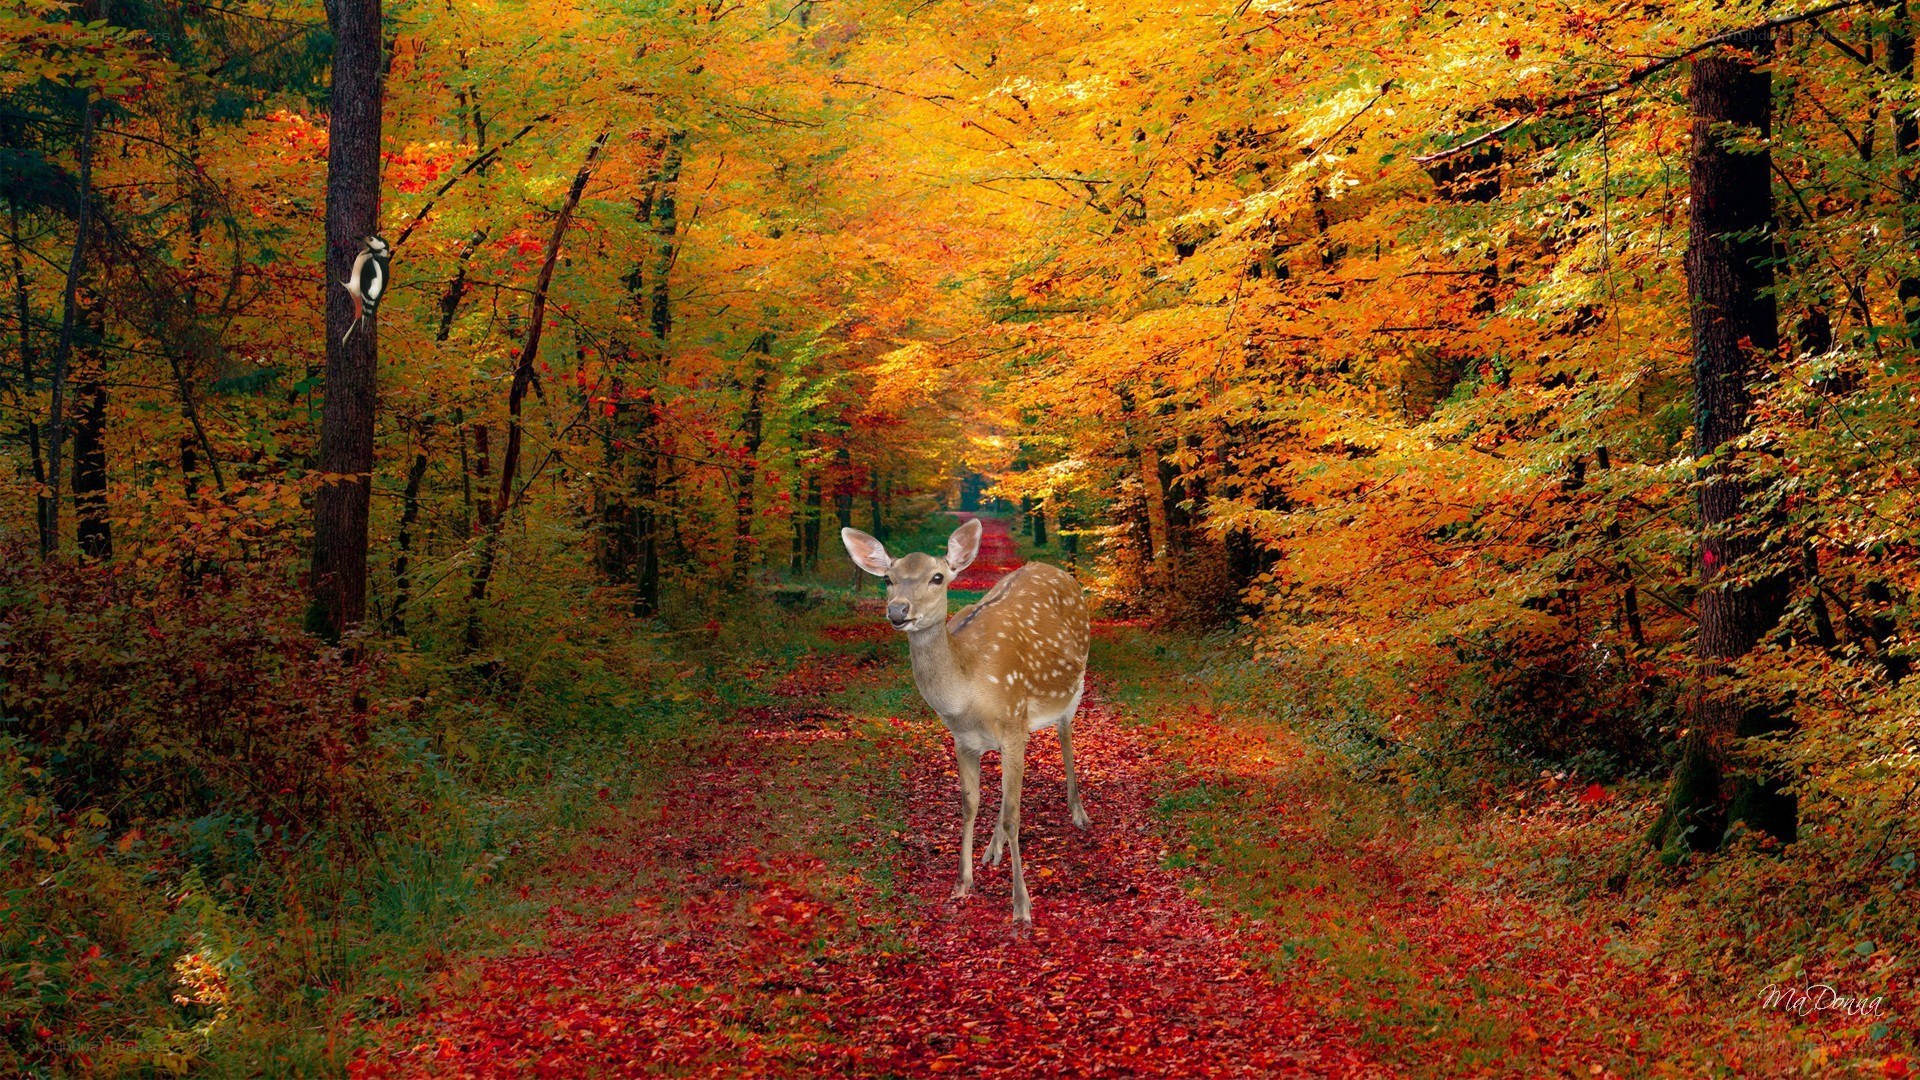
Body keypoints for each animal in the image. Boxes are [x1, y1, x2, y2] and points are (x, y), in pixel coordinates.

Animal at [839, 517, 1091, 924]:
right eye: (888, 578)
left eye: (938, 577)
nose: (898, 610)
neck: (968, 692)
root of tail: (1057, 570)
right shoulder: (964, 739)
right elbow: (971, 803)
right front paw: (963, 881)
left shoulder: (1012, 724)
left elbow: (1014, 814)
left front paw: (1021, 905)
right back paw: (992, 850)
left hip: (1074, 684)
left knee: (1066, 734)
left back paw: (1078, 812)